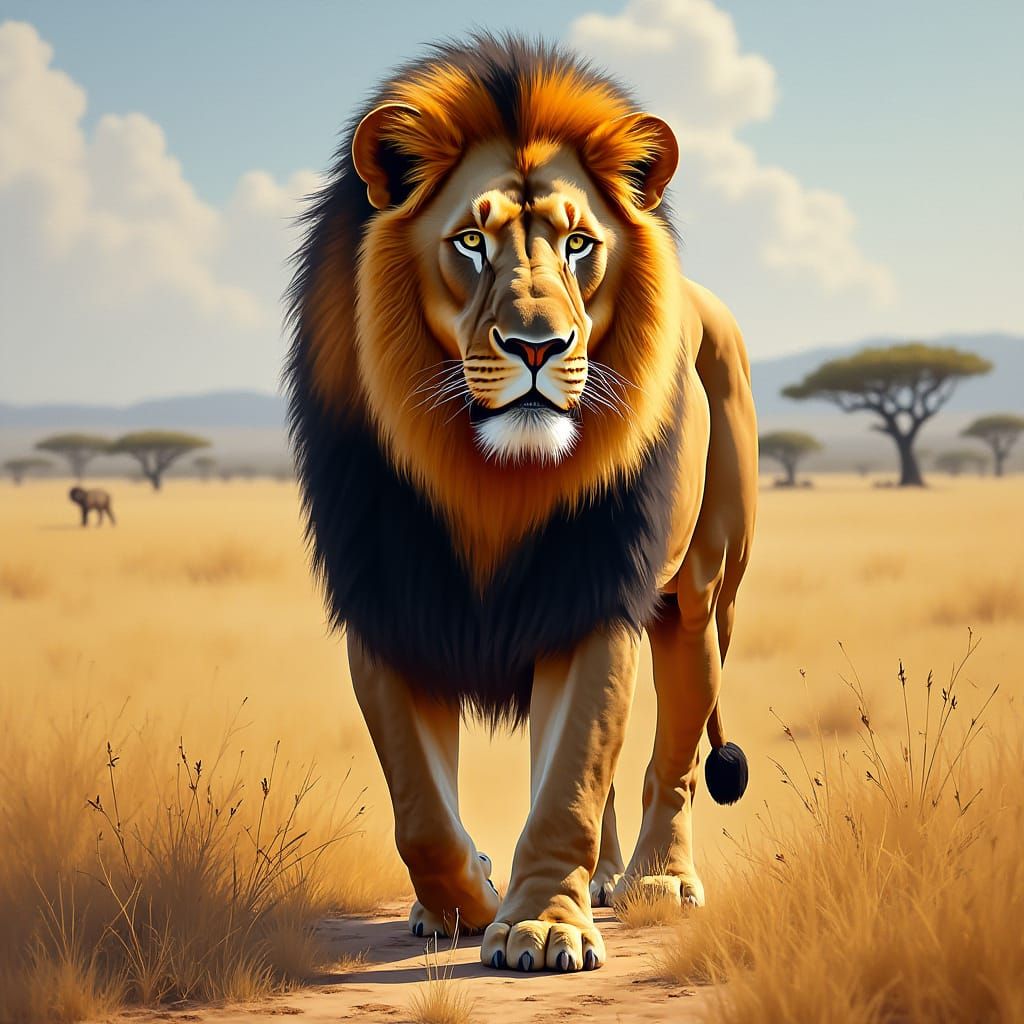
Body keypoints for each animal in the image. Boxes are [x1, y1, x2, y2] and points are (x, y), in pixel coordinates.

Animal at [286, 35, 757, 974]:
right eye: (471, 241)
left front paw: (541, 925)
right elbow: (422, 810)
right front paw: (463, 899)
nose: (539, 346)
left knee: (674, 760)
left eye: (578, 245)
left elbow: (570, 777)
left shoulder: (592, 591)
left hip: (698, 592)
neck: (488, 478)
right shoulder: (388, 601)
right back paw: (601, 879)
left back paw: (656, 881)